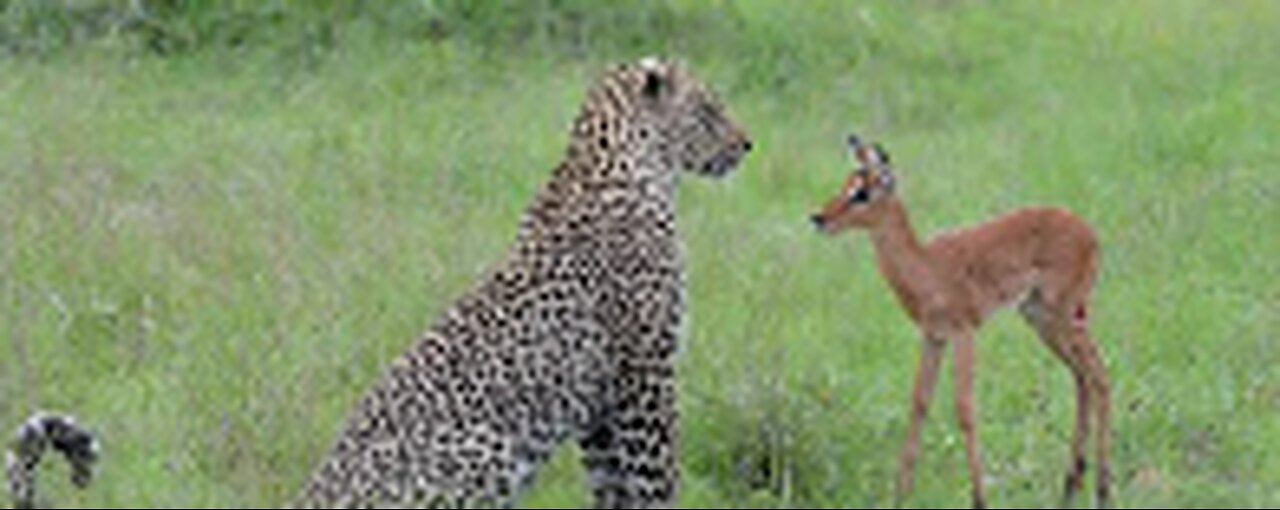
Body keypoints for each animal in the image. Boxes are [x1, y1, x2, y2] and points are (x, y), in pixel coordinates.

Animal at [7, 56, 747, 510]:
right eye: (710, 110)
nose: (747, 145)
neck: (628, 166)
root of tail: (304, 499)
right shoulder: (643, 374)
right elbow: (654, 477)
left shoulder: (598, 403)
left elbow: (612, 488)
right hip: (483, 449)